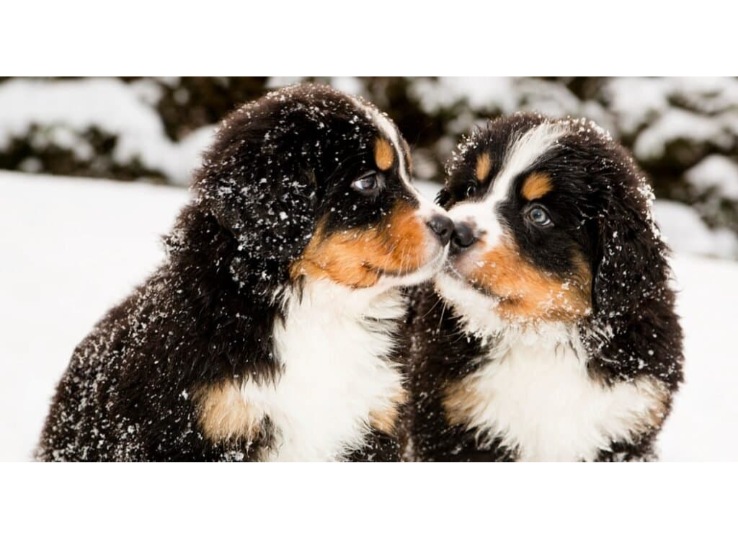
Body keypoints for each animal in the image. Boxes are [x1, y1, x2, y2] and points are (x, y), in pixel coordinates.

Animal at [37, 84, 452, 460]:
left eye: (408, 173)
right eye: (367, 181)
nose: (448, 228)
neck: (318, 310)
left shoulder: (374, 422)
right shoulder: (202, 427)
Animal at [402, 113, 684, 460]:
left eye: (538, 214)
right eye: (470, 188)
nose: (455, 230)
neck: (540, 337)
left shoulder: (627, 428)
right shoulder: (451, 423)